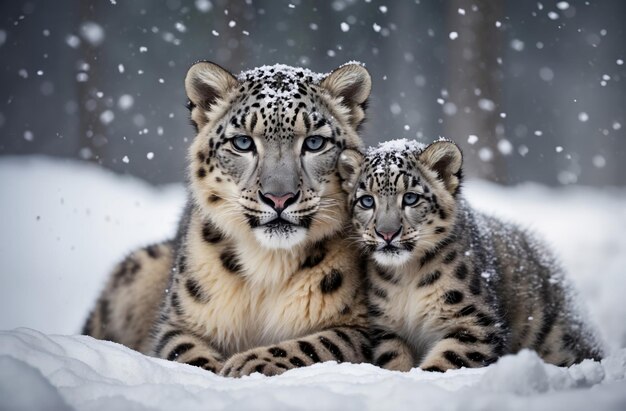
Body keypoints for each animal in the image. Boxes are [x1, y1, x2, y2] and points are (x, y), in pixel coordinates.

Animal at [84, 59, 372, 378]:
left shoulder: (360, 327)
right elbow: (185, 350)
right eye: (243, 142)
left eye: (315, 142)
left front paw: (249, 364)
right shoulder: (178, 321)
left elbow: (319, 345)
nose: (279, 197)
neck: (267, 266)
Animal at [336, 139, 604, 374]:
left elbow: (448, 360)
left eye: (411, 197)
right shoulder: (387, 328)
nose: (386, 233)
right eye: (367, 201)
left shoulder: (474, 322)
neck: (406, 277)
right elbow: (393, 359)